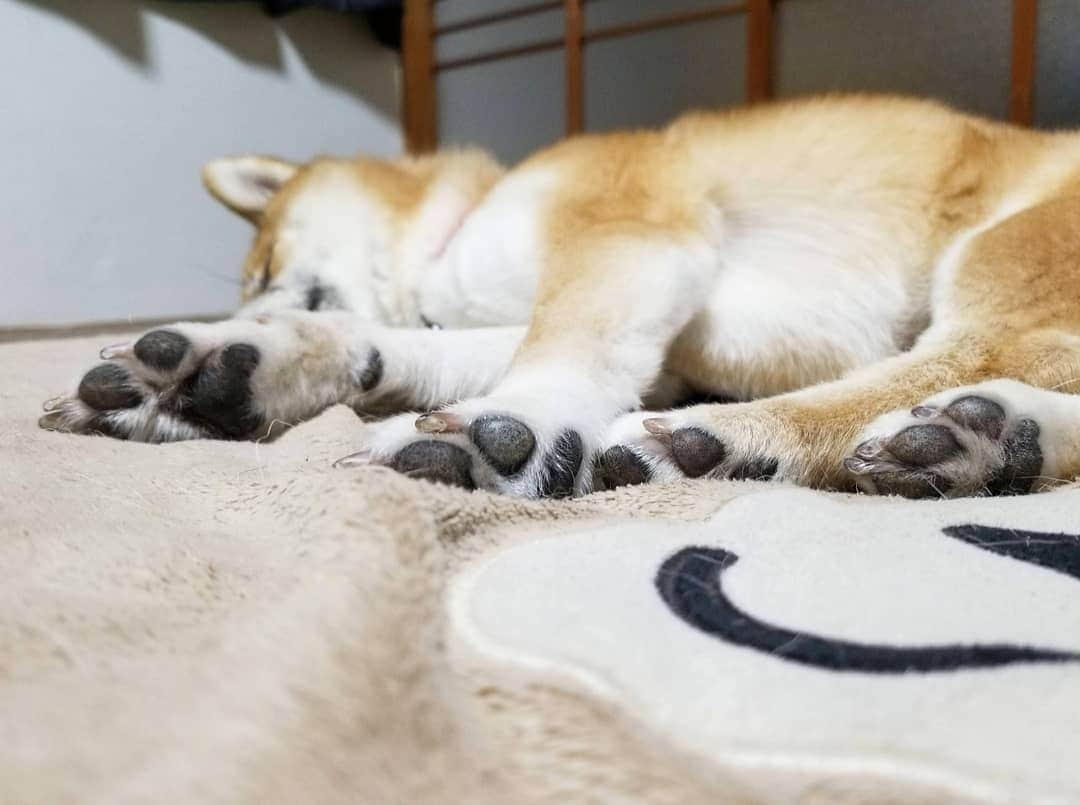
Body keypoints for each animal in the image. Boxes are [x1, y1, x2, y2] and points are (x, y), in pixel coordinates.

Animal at [39, 94, 1080, 497]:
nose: (249, 307)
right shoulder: (658, 347)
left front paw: (517, 423)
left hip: (1008, 247)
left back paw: (733, 442)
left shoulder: (626, 233)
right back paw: (997, 442)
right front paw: (230, 364)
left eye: (258, 267)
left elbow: (568, 343)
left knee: (956, 357)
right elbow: (400, 345)